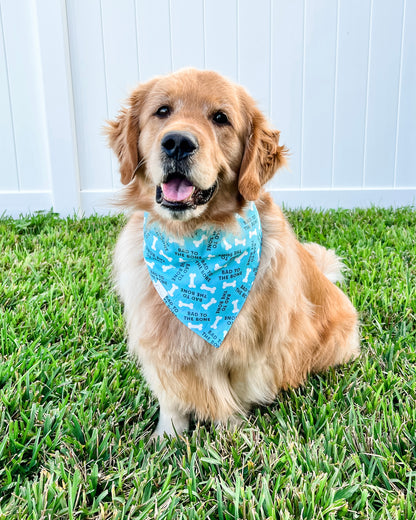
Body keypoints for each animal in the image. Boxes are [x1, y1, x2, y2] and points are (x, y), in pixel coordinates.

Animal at [105, 67, 360, 436]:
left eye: (220, 118)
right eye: (162, 111)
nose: (178, 143)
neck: (193, 244)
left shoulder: (248, 348)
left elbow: (229, 397)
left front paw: (232, 435)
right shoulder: (158, 342)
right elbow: (172, 399)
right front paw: (167, 438)